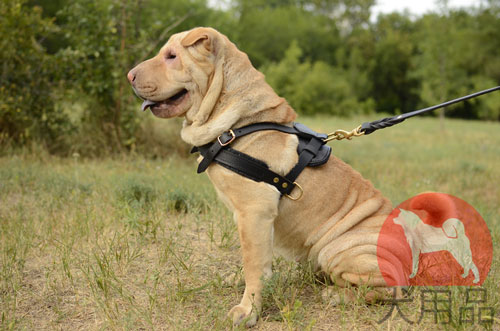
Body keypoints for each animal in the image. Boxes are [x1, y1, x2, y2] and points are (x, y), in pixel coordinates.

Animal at [128, 27, 398, 326]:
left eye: (172, 56)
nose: (129, 75)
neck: (238, 124)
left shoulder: (254, 212)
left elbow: (255, 266)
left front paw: (247, 312)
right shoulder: (244, 217)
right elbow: (248, 257)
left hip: (338, 249)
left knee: (386, 291)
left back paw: (336, 295)